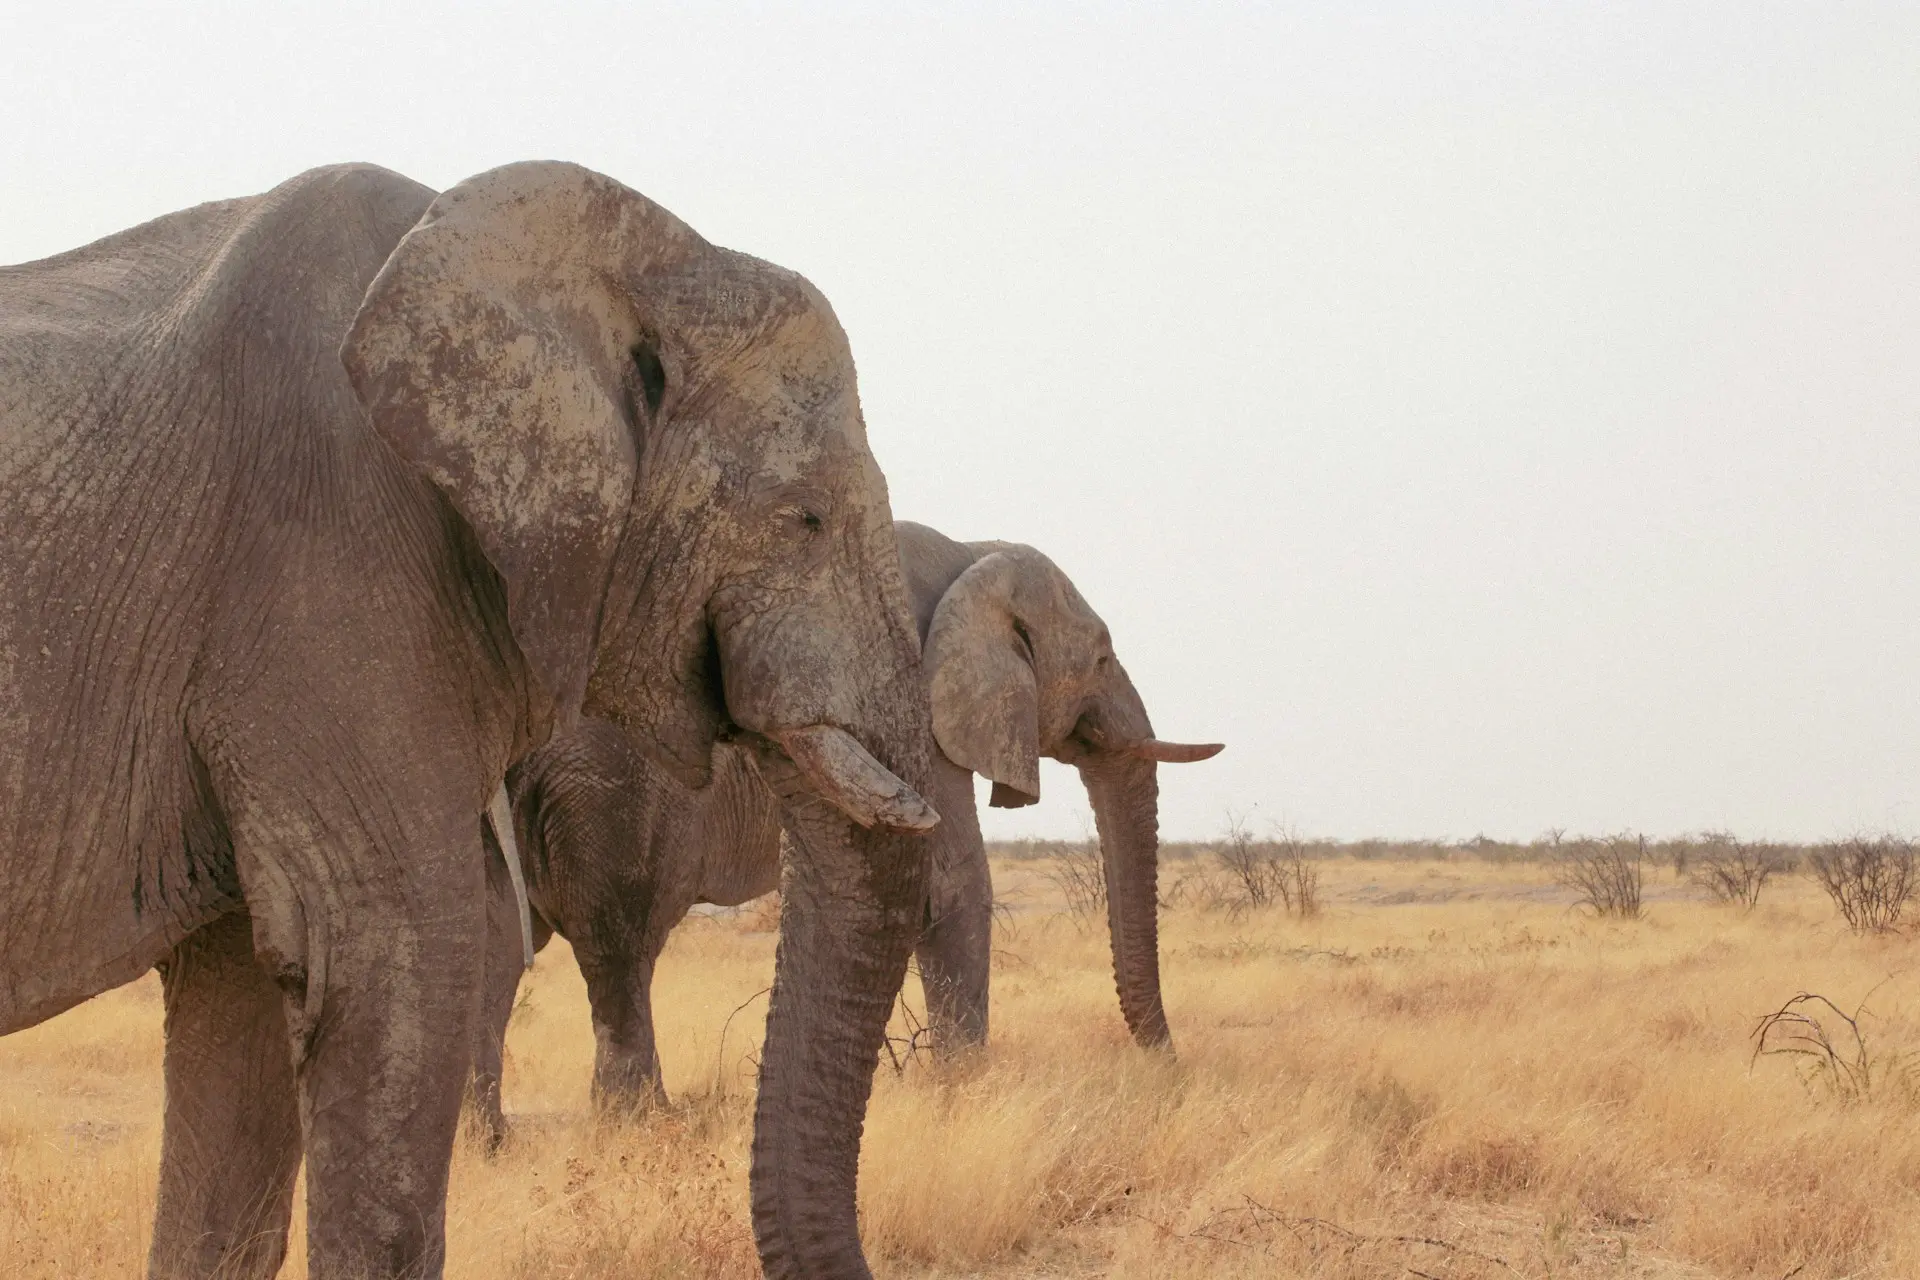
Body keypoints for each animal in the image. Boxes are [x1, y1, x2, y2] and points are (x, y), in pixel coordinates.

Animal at [471, 519, 1223, 1139]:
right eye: (1101, 659)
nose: (1170, 1067)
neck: (970, 552)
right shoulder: (910, 706)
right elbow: (949, 888)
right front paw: (964, 1097)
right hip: (606, 791)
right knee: (621, 949)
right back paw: (642, 1127)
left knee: (496, 945)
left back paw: (488, 1144)